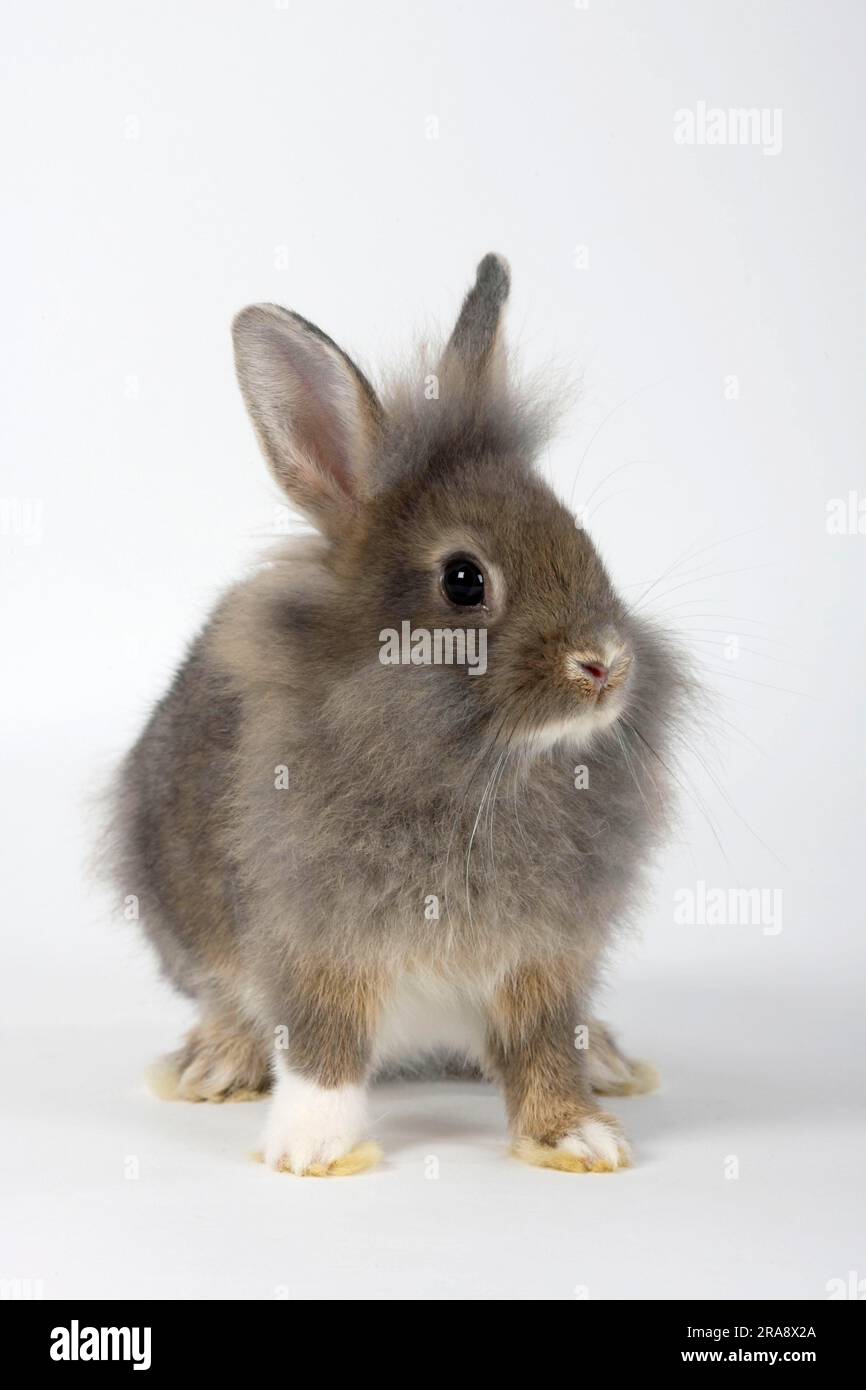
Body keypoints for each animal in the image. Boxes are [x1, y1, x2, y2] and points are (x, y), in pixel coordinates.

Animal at [111, 258, 686, 1173]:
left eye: (579, 534)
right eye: (463, 580)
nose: (605, 665)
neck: (476, 768)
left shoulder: (546, 957)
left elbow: (542, 1043)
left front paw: (579, 1136)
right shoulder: (317, 939)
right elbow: (324, 1041)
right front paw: (313, 1149)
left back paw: (610, 1060)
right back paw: (213, 1066)